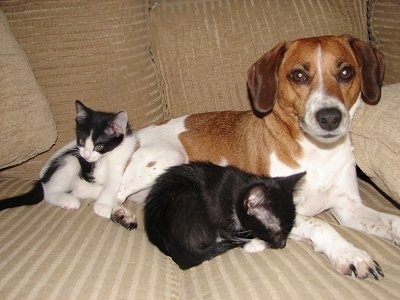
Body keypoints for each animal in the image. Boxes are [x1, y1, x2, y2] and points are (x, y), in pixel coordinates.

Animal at [0, 101, 138, 227]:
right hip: (69, 160)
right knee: (50, 190)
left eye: (99, 146)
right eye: (81, 141)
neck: (107, 155)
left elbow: (113, 181)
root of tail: (43, 178)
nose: (86, 156)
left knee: (79, 191)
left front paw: (103, 204)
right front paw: (103, 207)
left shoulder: (121, 159)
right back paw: (68, 200)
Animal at [144, 162, 304, 270]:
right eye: (275, 231)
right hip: (187, 198)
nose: (283, 244)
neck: (235, 194)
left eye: (290, 228)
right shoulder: (217, 213)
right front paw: (254, 243)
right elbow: (229, 233)